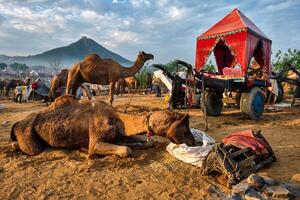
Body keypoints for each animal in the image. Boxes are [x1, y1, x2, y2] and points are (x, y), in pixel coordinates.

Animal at [10, 95, 195, 158]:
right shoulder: (96, 141)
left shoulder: (120, 134)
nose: (194, 142)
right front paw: (85, 150)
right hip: (27, 131)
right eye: (185, 128)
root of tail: (18, 123)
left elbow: (146, 141)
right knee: (32, 148)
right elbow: (125, 150)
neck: (118, 119)